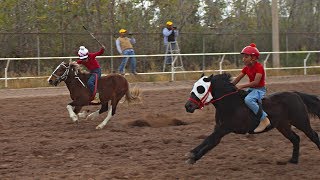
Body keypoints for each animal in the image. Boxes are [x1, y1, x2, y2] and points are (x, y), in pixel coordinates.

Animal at [185, 73, 320, 165]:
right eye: (194, 86)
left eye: (201, 89)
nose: (188, 106)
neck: (230, 104)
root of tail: (296, 94)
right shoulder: (219, 129)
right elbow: (210, 142)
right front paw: (193, 157)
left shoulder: (225, 128)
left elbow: (209, 139)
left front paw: (191, 154)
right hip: (283, 126)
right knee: (296, 139)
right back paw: (293, 160)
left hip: (301, 122)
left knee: (313, 135)